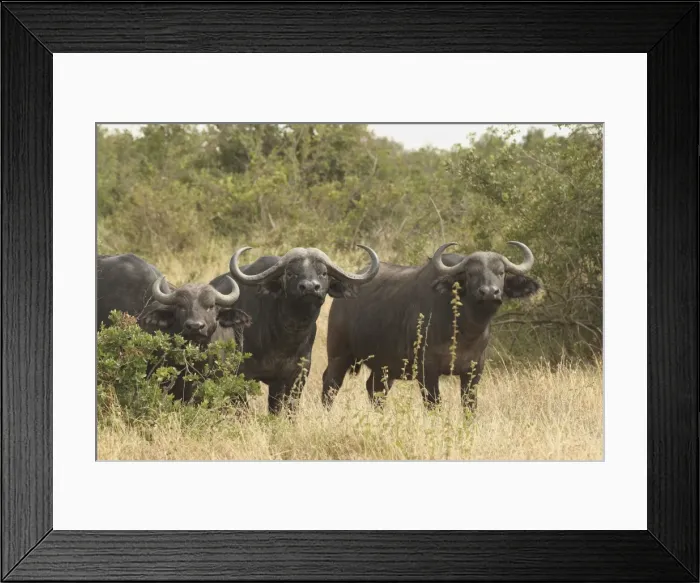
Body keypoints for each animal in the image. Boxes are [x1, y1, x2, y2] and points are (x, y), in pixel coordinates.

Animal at [210, 245, 380, 414]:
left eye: (323, 273)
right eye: (290, 273)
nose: (310, 287)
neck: (283, 339)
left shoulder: (295, 376)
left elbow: (286, 408)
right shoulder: (239, 374)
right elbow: (242, 408)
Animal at [321, 241, 540, 412]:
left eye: (501, 272)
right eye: (471, 273)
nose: (489, 292)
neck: (464, 331)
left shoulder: (474, 371)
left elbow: (469, 407)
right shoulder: (427, 371)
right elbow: (434, 406)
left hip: (384, 366)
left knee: (375, 390)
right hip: (339, 354)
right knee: (331, 383)